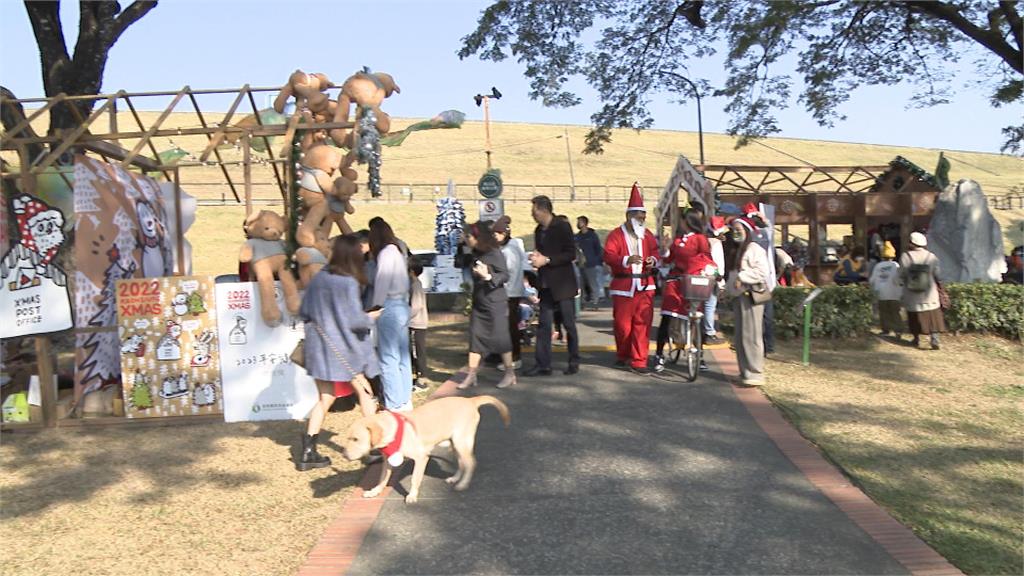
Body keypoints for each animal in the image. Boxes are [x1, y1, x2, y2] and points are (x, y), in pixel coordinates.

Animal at [337, 393, 509, 502]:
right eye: (347, 438)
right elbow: (382, 479)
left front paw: (412, 496)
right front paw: (375, 491)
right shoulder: (388, 461)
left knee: (471, 463)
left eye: (356, 439)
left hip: (462, 442)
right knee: (462, 463)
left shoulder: (421, 458)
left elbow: (415, 479)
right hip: (455, 444)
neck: (394, 431)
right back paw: (455, 478)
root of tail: (470, 400)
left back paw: (463, 484)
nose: (344, 455)